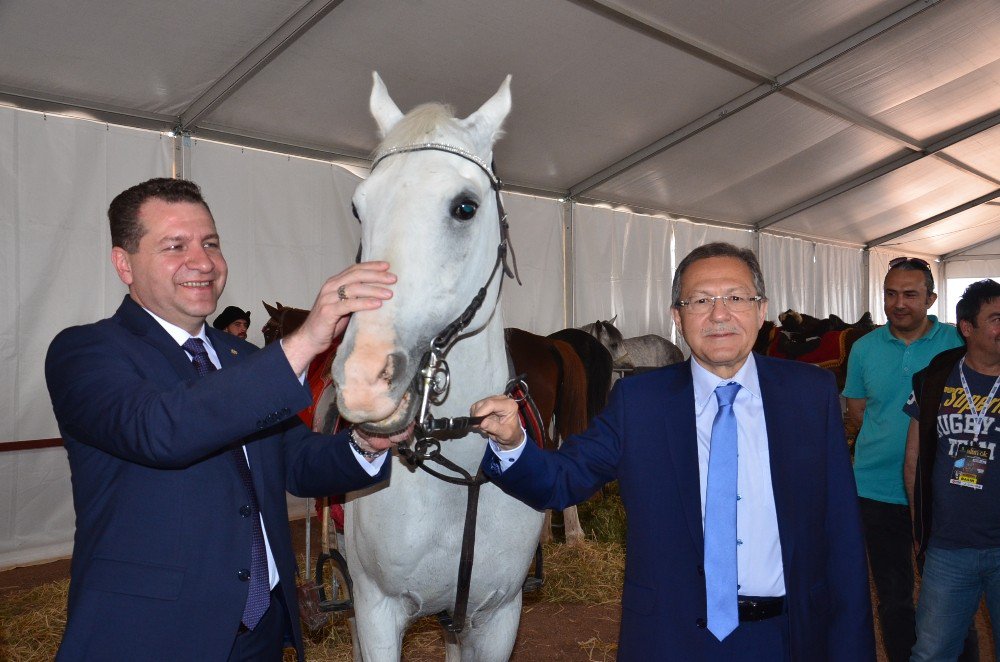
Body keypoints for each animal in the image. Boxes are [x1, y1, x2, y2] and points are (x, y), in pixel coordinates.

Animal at [332, 74, 544, 662]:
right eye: (358, 208)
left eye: (465, 207)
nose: (363, 382)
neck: (461, 478)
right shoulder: (376, 610)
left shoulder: (497, 617)